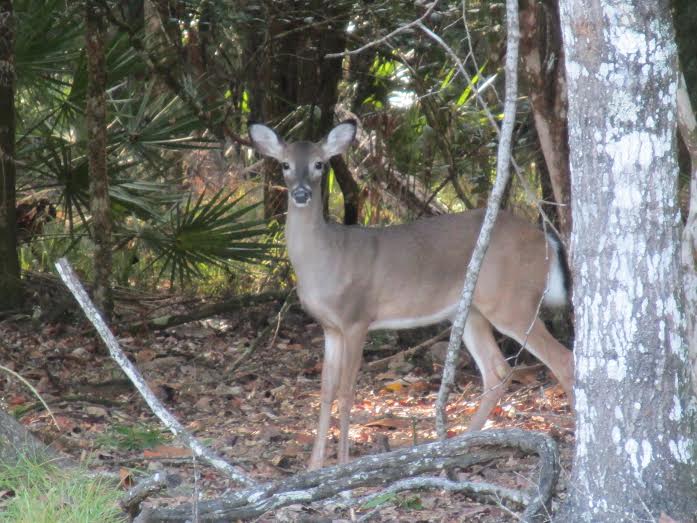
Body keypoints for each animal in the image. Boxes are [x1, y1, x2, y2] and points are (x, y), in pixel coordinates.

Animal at [247, 119, 572, 470]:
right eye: (285, 165)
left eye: (320, 164)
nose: (301, 193)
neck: (325, 259)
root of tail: (545, 240)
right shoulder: (329, 327)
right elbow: (325, 391)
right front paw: (313, 468)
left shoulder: (356, 317)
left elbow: (347, 391)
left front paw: (343, 464)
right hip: (472, 311)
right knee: (497, 370)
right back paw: (459, 445)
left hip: (512, 301)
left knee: (562, 360)